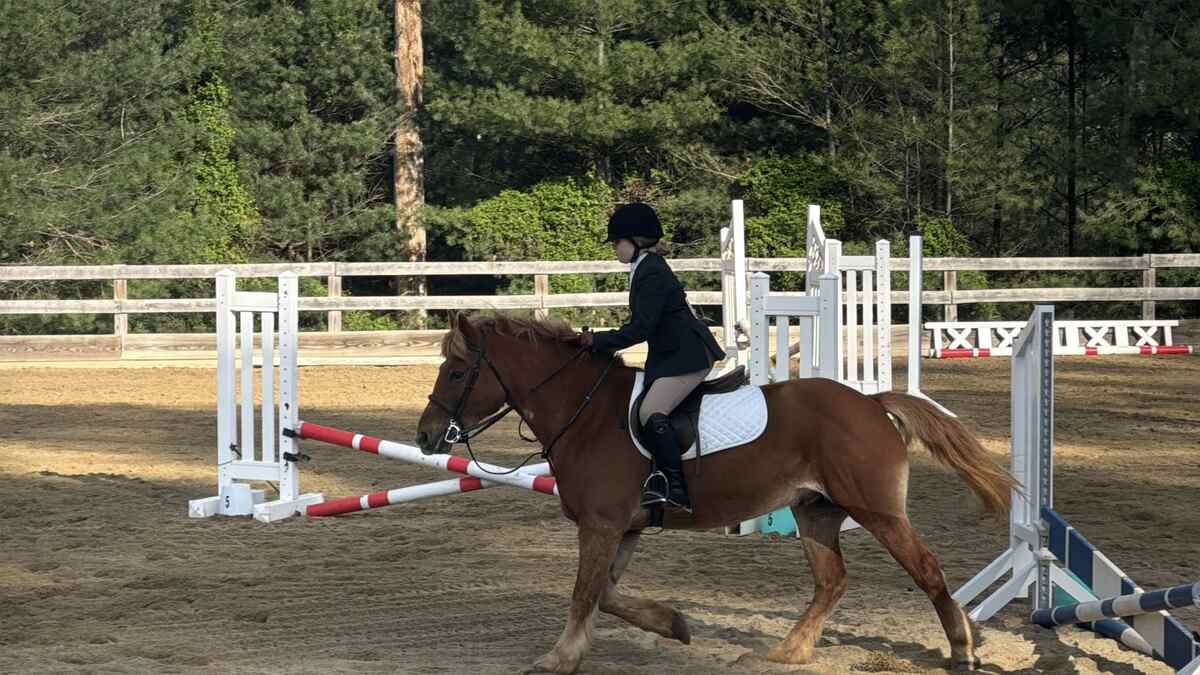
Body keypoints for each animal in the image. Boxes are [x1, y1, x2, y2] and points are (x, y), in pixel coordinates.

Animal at [415, 313, 1017, 674]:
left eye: (458, 371)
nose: (425, 437)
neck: (583, 413)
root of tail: (870, 403)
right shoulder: (622, 527)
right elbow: (605, 593)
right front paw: (673, 625)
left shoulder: (602, 524)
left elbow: (585, 593)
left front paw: (559, 658)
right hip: (815, 512)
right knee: (832, 580)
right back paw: (790, 650)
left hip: (876, 511)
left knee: (927, 570)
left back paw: (961, 650)